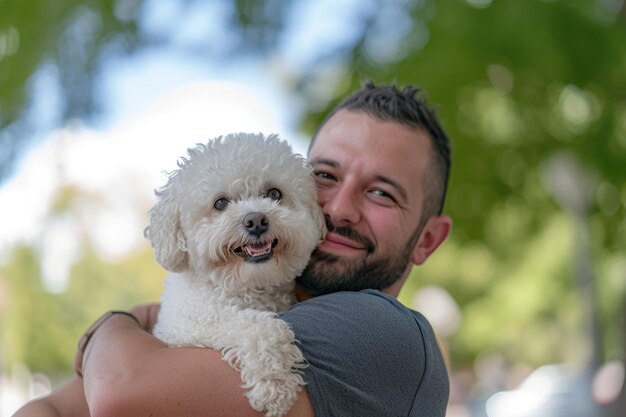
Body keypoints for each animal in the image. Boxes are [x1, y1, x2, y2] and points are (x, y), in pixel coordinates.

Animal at [144, 133, 324, 416]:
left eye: (274, 193)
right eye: (220, 203)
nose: (256, 221)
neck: (246, 287)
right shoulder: (187, 325)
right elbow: (254, 325)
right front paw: (275, 385)